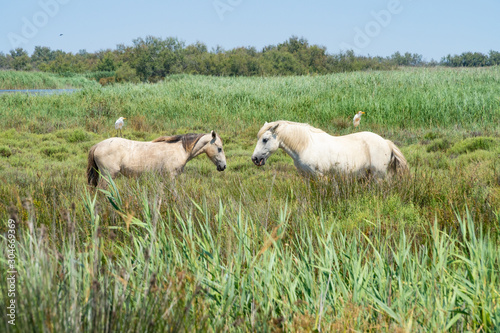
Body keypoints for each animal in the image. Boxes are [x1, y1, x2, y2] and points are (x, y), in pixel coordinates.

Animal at [87, 130, 226, 187]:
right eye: (219, 148)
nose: (223, 166)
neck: (180, 149)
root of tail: (97, 145)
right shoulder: (171, 176)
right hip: (108, 175)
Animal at [252, 120, 408, 178]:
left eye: (265, 139)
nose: (255, 159)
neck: (305, 146)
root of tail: (386, 142)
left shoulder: (320, 176)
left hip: (378, 175)